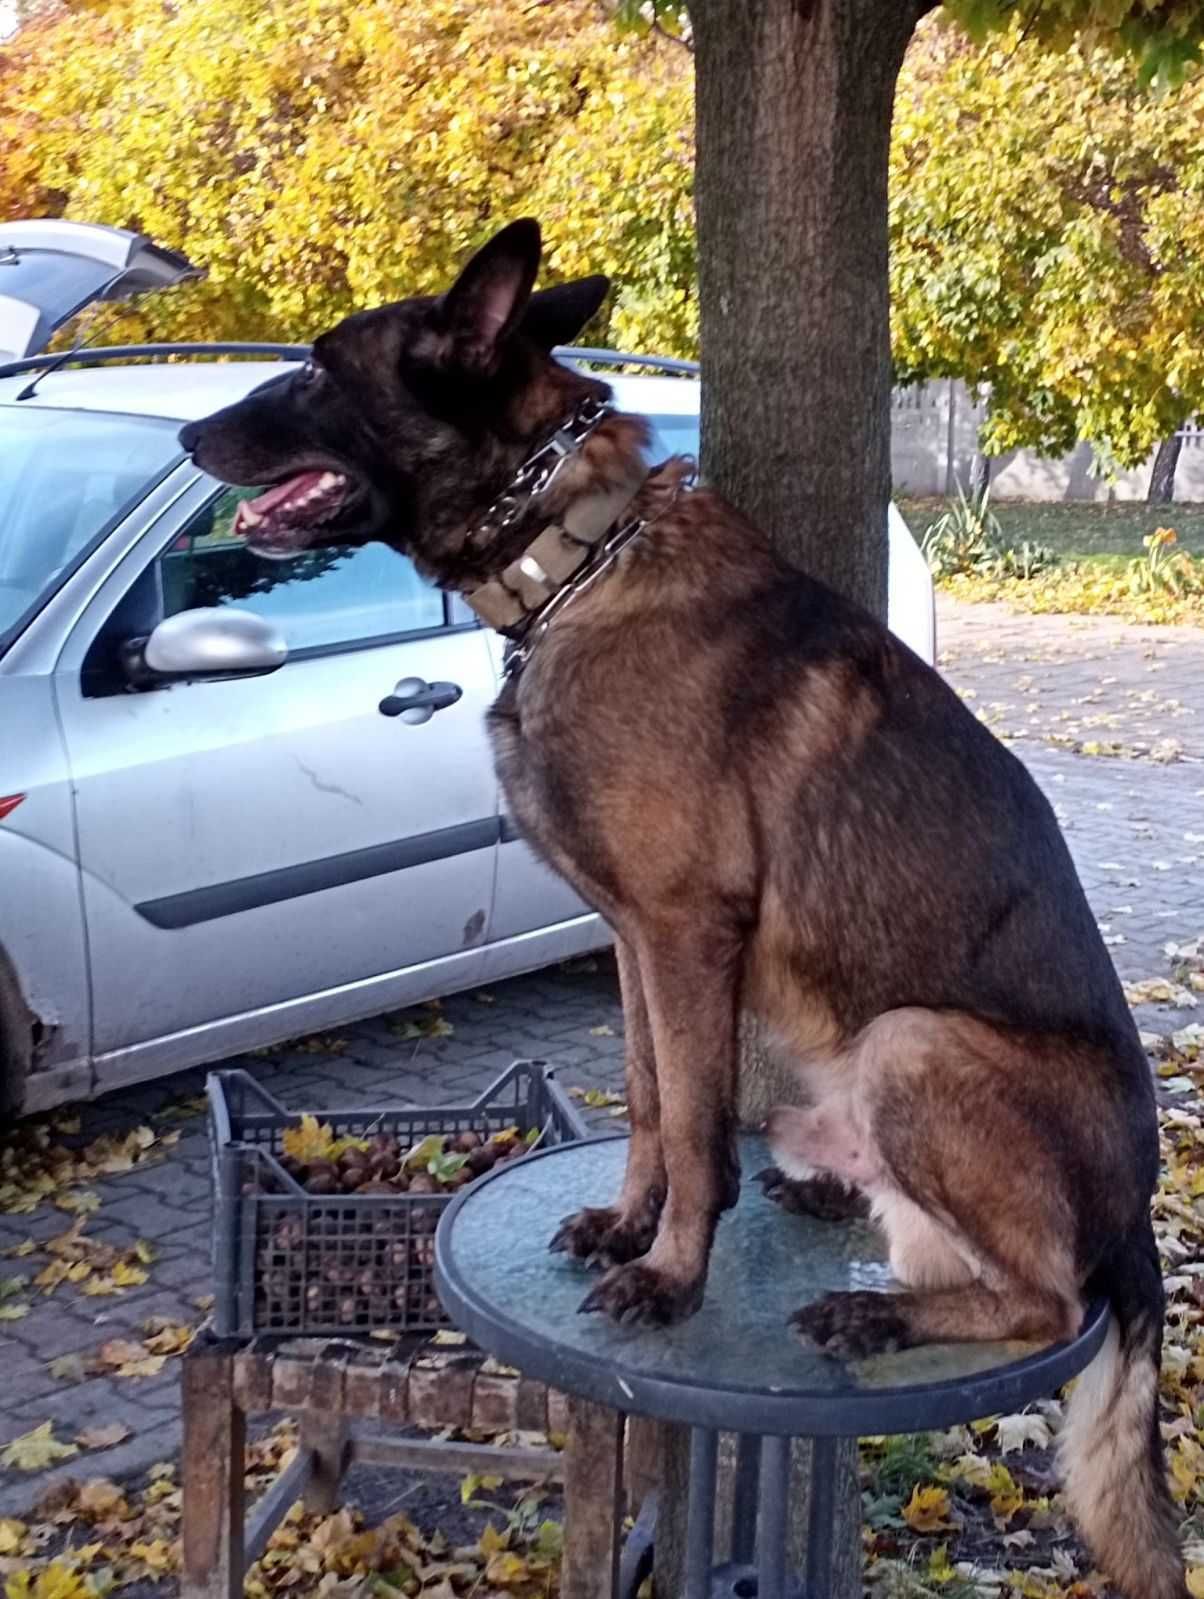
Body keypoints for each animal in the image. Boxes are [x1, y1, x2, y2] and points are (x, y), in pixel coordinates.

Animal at [180, 222, 1183, 1586]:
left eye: (321, 370)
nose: (188, 435)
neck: (574, 555)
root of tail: (1136, 1212)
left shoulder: (683, 931)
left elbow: (703, 1133)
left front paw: (671, 1276)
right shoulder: (629, 941)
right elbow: (656, 1103)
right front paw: (627, 1223)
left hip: (911, 1042)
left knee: (1048, 1299)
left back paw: (876, 1312)